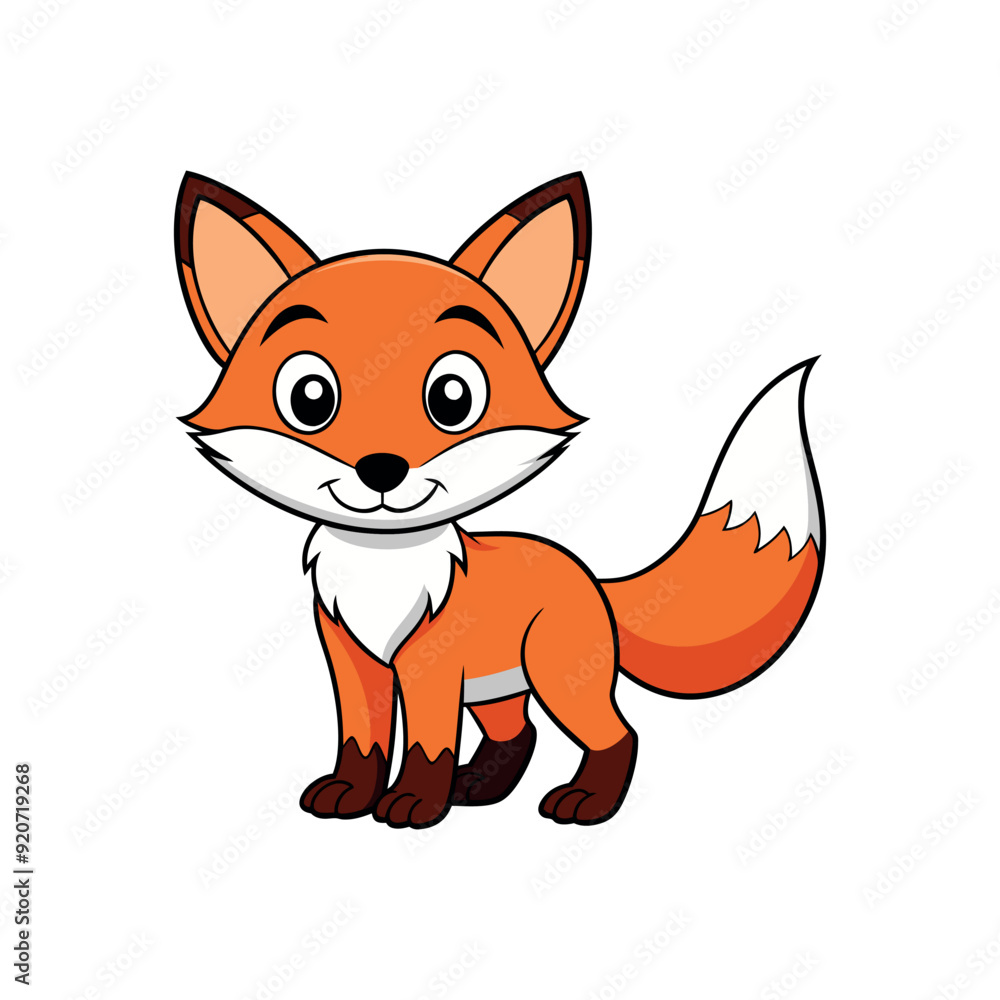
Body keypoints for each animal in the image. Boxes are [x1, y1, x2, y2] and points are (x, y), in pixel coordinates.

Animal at [174, 171, 824, 829]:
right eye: (310, 397)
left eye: (452, 397)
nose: (381, 468)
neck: (383, 570)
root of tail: (589, 577)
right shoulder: (355, 661)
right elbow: (362, 739)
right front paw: (352, 794)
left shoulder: (430, 666)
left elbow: (426, 745)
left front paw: (414, 803)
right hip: (498, 686)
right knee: (519, 732)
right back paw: (480, 788)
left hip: (557, 676)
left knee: (617, 733)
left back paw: (586, 801)